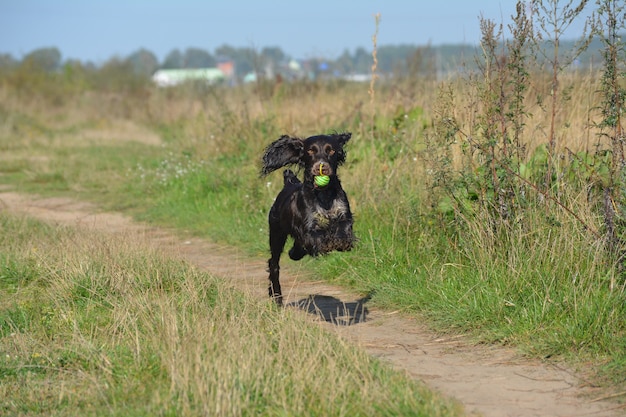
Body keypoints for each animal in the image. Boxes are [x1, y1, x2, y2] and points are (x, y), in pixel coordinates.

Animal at [260, 132, 356, 302]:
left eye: (331, 150)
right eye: (311, 151)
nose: (321, 167)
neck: (324, 195)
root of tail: (289, 183)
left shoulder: (344, 213)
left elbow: (344, 227)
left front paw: (341, 241)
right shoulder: (307, 227)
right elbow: (316, 235)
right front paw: (327, 242)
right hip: (276, 233)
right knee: (274, 263)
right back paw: (277, 297)